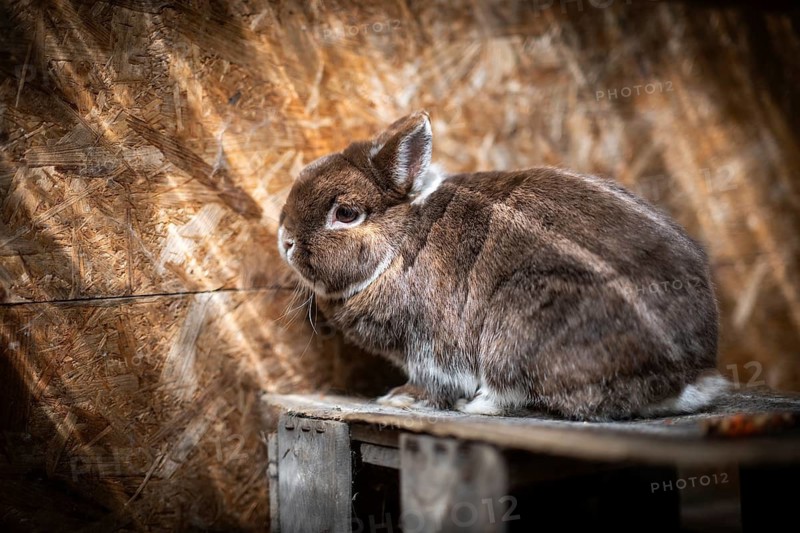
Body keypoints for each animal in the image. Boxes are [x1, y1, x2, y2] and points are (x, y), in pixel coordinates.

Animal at [277, 111, 728, 420]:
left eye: (346, 214)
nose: (285, 241)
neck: (401, 240)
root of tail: (688, 374)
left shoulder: (430, 344)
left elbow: (437, 380)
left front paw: (402, 398)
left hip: (517, 331)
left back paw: (478, 407)